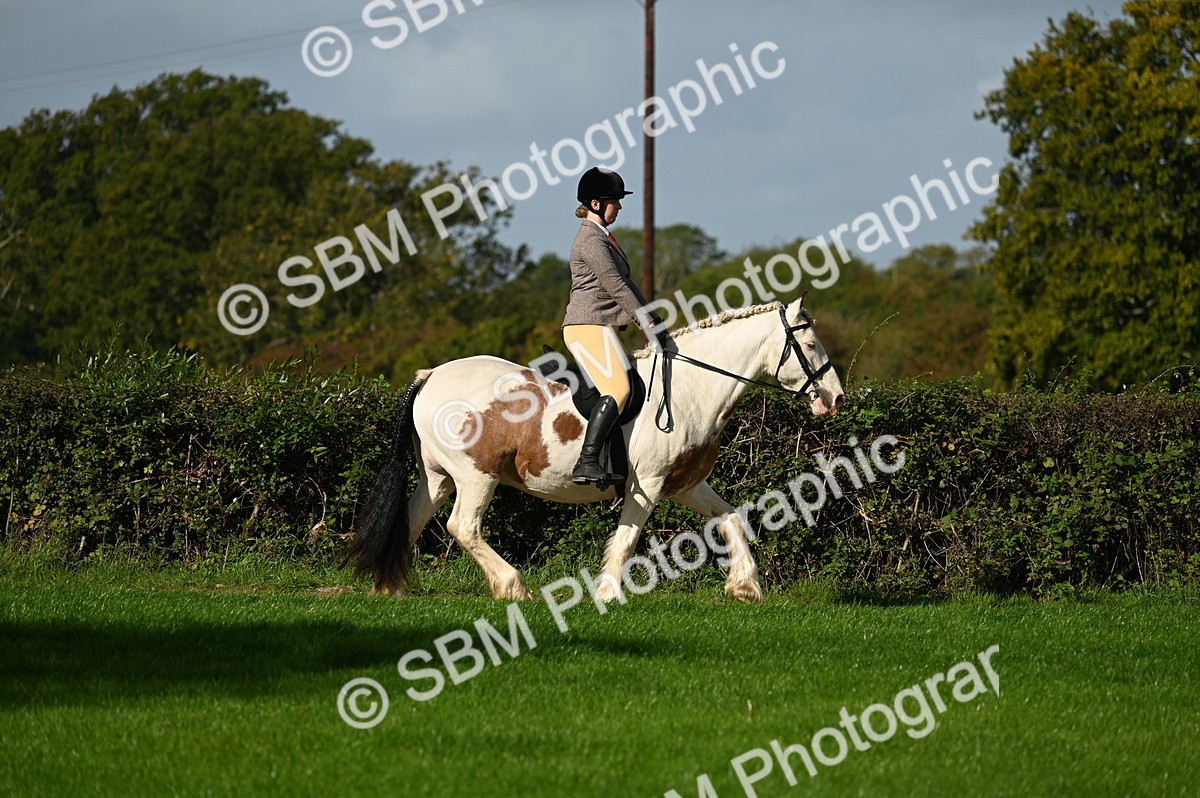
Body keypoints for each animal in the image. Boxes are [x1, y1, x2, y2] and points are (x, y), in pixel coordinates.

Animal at [348, 295, 845, 602]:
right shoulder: (648, 483)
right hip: (475, 475)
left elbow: (731, 519)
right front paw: (607, 592)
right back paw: (513, 586)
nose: (836, 398)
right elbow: (626, 539)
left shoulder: (687, 485)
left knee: (413, 518)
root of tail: (432, 373)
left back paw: (390, 587)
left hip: (439, 477)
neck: (692, 387)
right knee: (463, 527)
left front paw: (744, 587)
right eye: (809, 343)